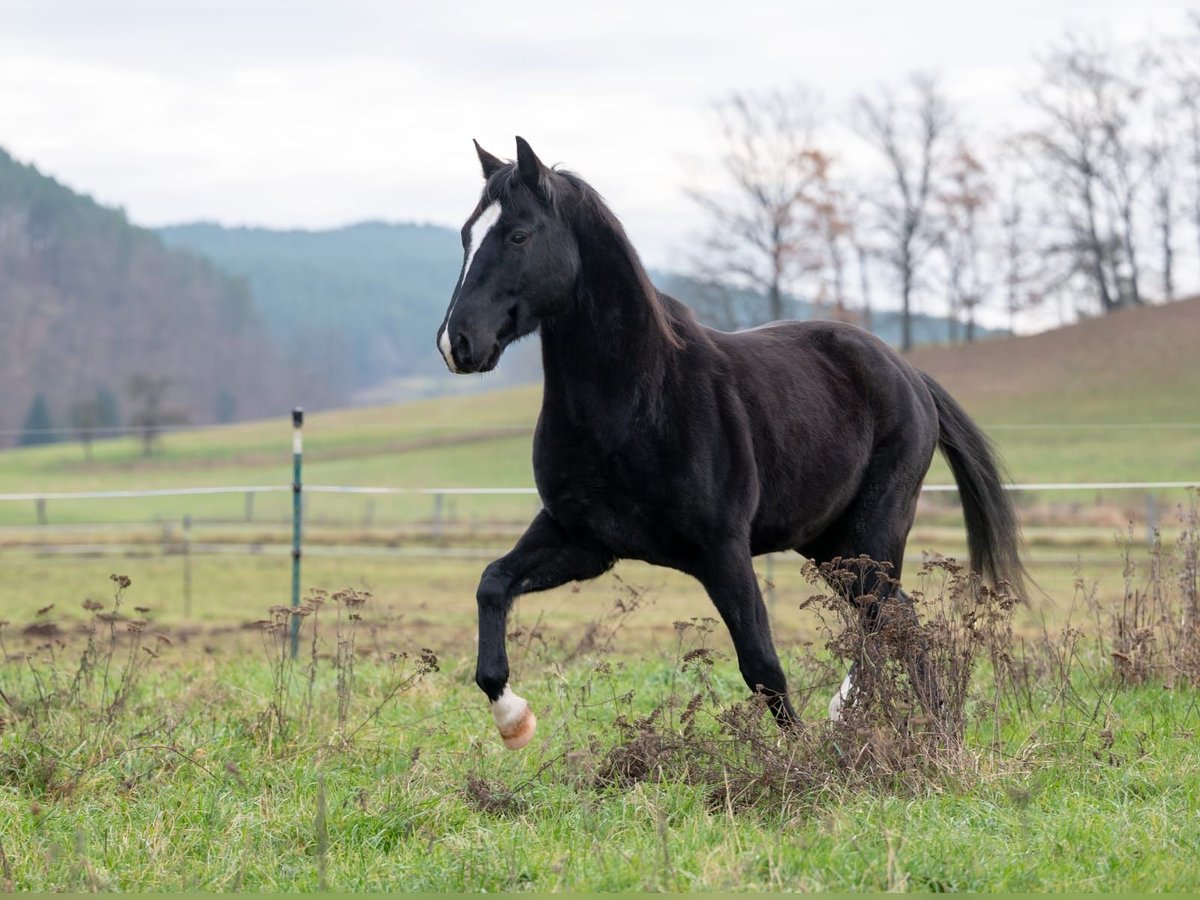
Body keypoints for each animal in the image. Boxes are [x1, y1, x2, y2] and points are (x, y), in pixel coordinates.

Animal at [436, 136, 1025, 750]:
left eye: (518, 235)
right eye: (467, 234)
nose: (458, 343)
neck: (635, 403)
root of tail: (910, 375)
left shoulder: (722, 550)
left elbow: (761, 664)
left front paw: (799, 757)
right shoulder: (581, 540)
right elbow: (492, 583)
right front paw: (514, 719)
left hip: (872, 533)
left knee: (887, 620)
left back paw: (902, 725)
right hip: (830, 544)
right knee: (891, 622)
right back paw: (902, 723)